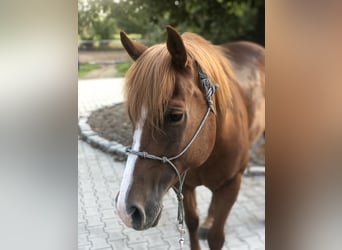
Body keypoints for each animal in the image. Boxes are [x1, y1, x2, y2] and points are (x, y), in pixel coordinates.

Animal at [115, 26, 264, 249]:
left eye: (175, 115)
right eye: (131, 115)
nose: (126, 210)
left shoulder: (231, 185)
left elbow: (216, 237)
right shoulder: (183, 183)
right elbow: (192, 223)